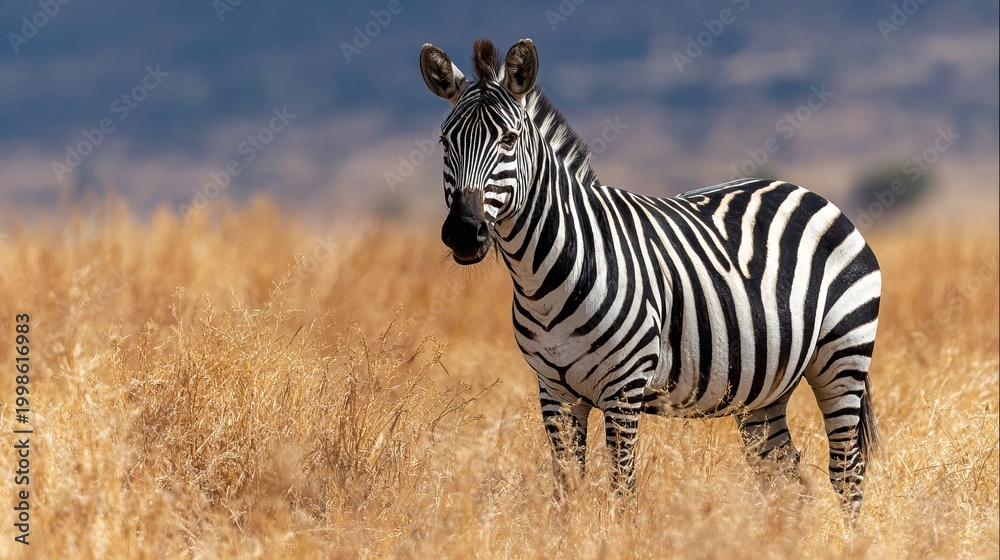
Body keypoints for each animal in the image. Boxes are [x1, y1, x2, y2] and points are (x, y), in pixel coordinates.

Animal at [419, 38, 881, 520]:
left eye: (508, 140)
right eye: (445, 140)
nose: (464, 232)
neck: (544, 275)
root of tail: (805, 191)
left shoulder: (624, 387)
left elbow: (623, 490)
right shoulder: (554, 392)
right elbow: (566, 489)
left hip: (843, 356)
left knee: (846, 471)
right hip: (764, 384)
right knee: (784, 472)